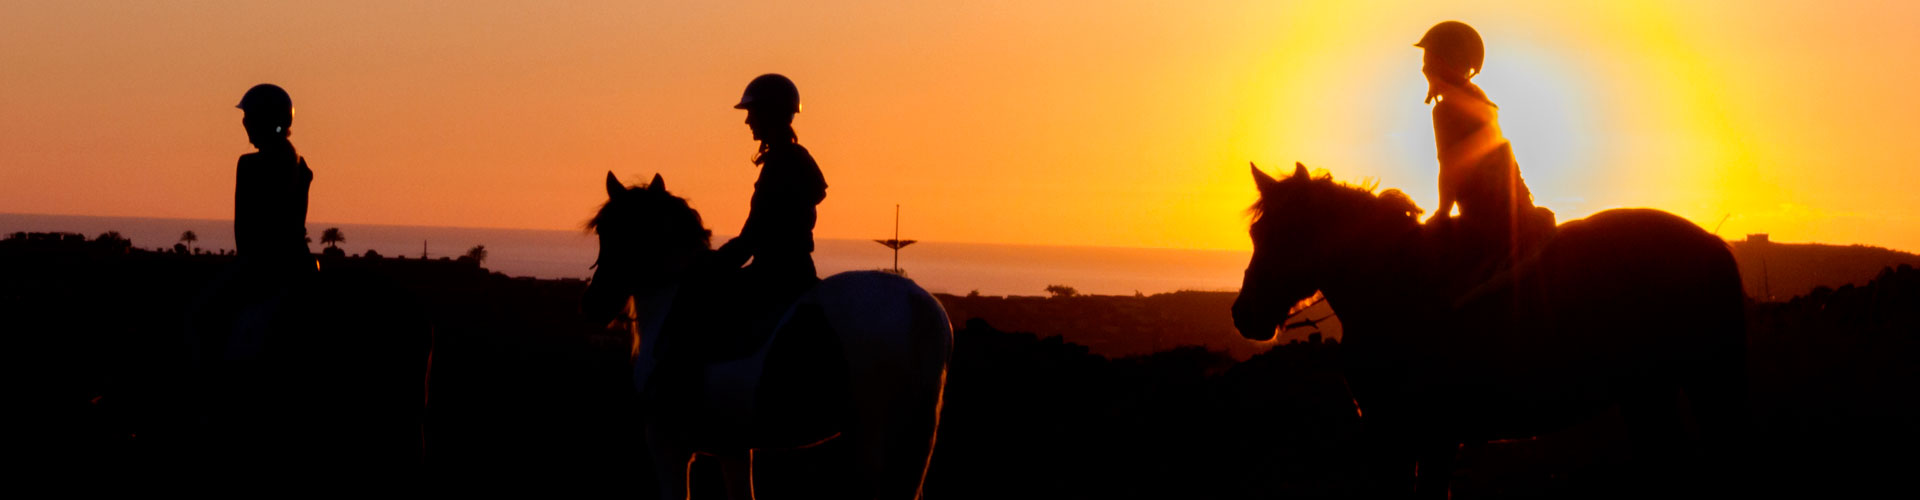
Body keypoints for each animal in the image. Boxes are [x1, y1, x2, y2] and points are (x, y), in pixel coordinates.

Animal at [579, 173, 948, 500]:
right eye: (602, 230)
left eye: (624, 230)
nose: (594, 304)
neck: (675, 302)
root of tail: (916, 302)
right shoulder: (733, 449)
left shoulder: (667, 445)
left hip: (872, 433)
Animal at [1236, 163, 1751, 496]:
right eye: (1257, 235)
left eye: (1290, 233)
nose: (1244, 315)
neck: (1397, 285)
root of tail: (1712, 246)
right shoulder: (1397, 432)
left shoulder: (1431, 433)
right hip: (1647, 391)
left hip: (1701, 380)